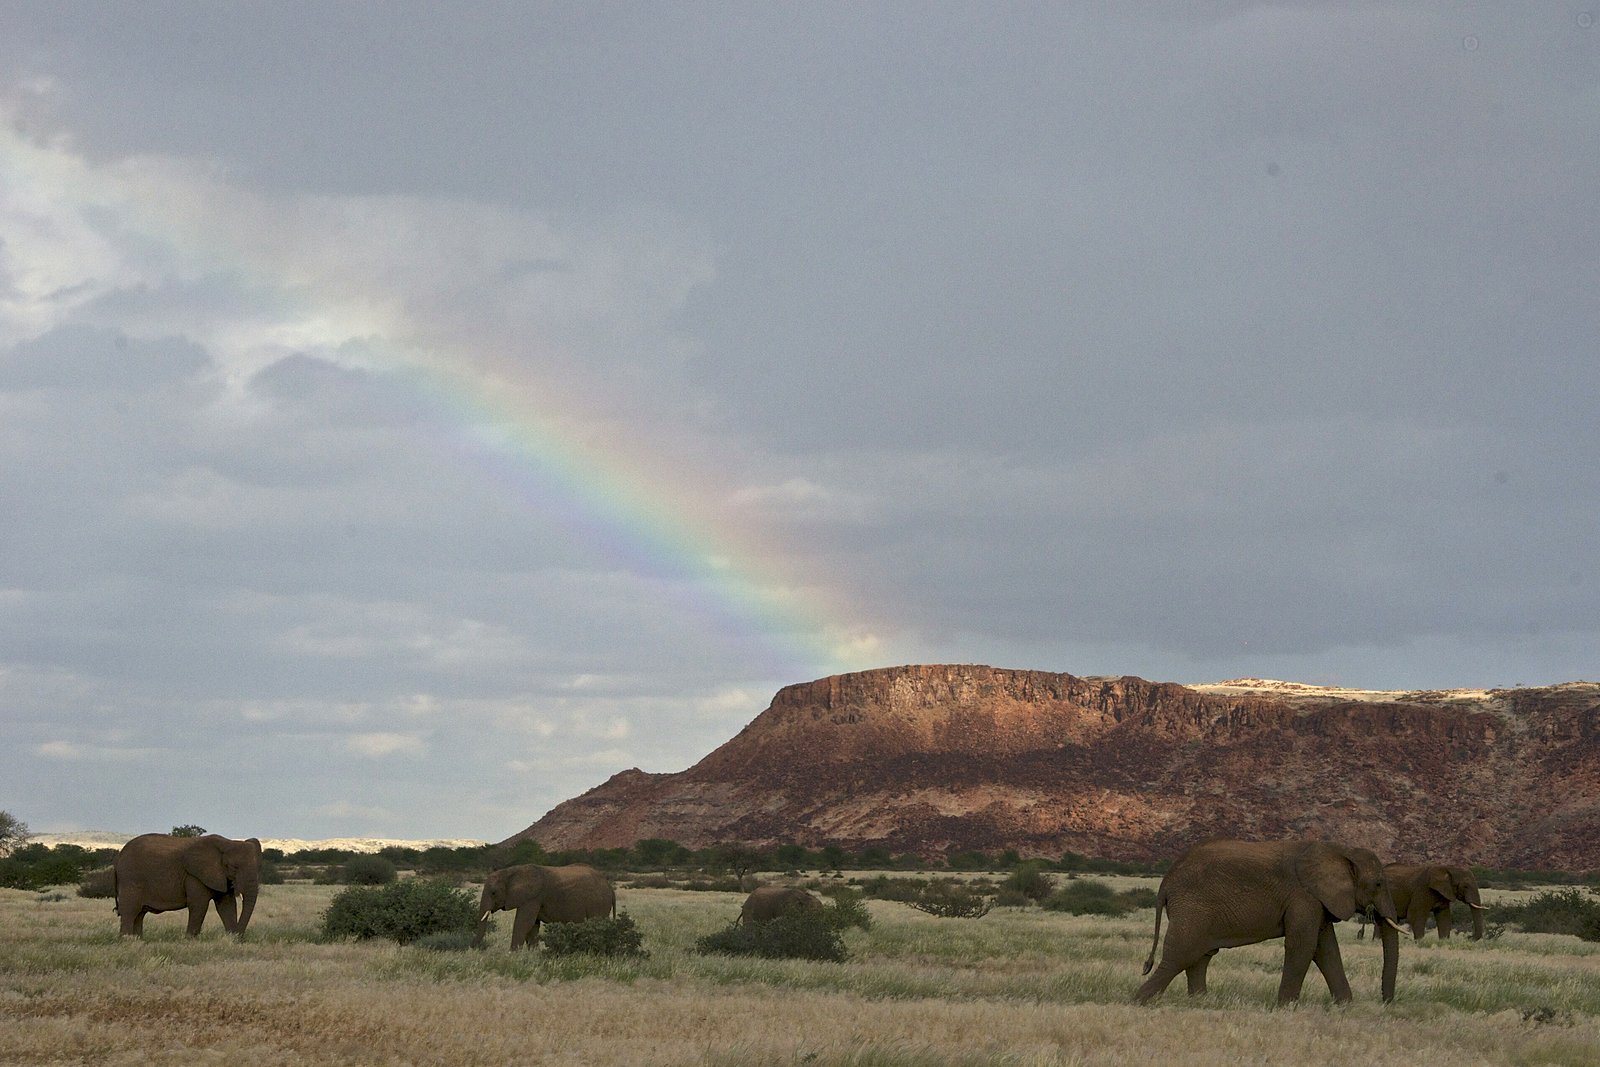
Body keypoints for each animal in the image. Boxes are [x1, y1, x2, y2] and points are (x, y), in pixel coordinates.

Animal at [113, 833, 262, 938]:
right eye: (233, 867)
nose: (239, 936)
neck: (227, 842)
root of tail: (119, 856)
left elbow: (227, 905)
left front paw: (231, 939)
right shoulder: (194, 875)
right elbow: (199, 904)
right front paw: (190, 940)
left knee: (139, 914)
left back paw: (137, 940)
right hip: (130, 879)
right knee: (130, 910)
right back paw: (126, 940)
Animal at [474, 863, 615, 949]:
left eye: (493, 893)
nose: (478, 949)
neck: (511, 871)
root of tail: (609, 886)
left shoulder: (532, 898)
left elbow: (523, 923)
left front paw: (512, 956)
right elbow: (532, 927)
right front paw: (533, 955)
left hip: (599, 903)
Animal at [1134, 839, 1405, 1006]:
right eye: (1378, 884)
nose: (1386, 1002)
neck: (1340, 849)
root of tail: (1166, 880)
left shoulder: (1317, 901)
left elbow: (1326, 949)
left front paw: (1345, 1007)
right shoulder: (1303, 897)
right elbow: (1304, 946)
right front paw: (1286, 1007)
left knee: (1200, 957)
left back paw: (1201, 1002)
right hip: (1192, 908)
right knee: (1181, 955)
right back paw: (1140, 1002)